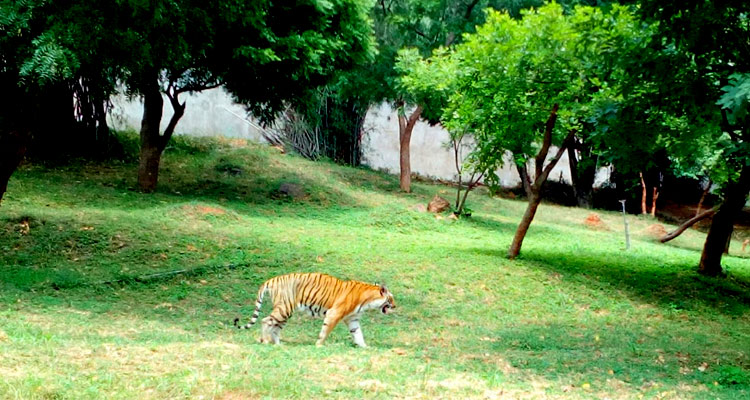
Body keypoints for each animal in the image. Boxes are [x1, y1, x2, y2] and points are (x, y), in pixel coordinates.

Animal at [234, 272, 400, 346]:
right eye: (391, 299)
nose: (395, 306)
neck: (368, 299)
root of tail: (271, 279)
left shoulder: (352, 319)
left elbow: (358, 334)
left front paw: (365, 347)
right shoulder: (334, 314)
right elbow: (325, 331)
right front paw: (319, 345)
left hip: (286, 312)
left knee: (275, 327)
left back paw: (278, 345)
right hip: (284, 308)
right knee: (265, 321)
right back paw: (264, 341)